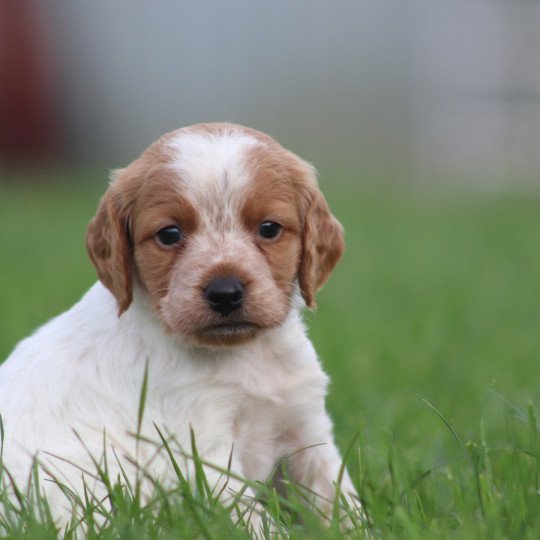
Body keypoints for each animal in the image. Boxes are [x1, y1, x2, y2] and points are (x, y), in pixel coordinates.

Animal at [0, 122, 358, 532]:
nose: (225, 292)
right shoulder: (203, 451)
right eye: (169, 234)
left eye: (269, 228)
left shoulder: (306, 426)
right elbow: (257, 522)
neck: (245, 356)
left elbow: (338, 496)